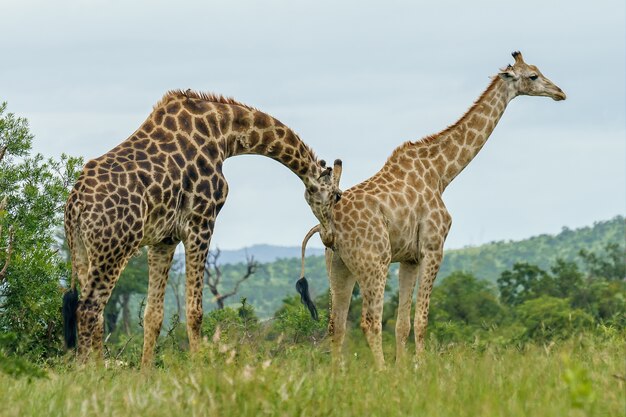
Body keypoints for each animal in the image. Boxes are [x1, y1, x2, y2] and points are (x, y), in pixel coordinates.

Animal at [62, 88, 338, 364]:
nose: (330, 237)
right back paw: (90, 371)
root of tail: (75, 204)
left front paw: (145, 372)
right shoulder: (201, 222)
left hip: (83, 251)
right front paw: (198, 367)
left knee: (95, 314)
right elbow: (195, 312)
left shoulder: (164, 239)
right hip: (114, 249)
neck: (224, 132)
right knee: (88, 310)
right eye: (336, 196)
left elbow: (153, 315)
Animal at [298, 51, 564, 368]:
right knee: (369, 321)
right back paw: (380, 371)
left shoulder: (410, 257)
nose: (560, 92)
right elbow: (421, 320)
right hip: (374, 262)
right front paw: (420, 367)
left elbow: (402, 324)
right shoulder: (433, 247)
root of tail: (326, 225)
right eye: (533, 76)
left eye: (538, 70)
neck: (441, 172)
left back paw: (340, 373)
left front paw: (404, 368)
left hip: (338, 266)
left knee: (335, 325)